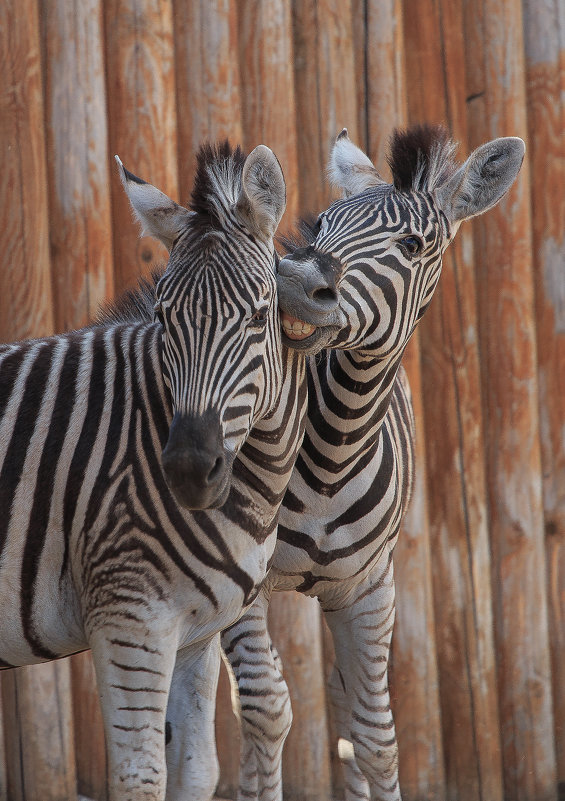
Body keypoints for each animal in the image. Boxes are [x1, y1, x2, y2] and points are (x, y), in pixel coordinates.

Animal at [0, 142, 338, 800]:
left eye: (259, 315)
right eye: (164, 316)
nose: (187, 470)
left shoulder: (196, 633)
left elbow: (197, 767)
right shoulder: (129, 619)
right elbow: (142, 777)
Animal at [219, 125, 524, 800]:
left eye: (412, 245)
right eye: (321, 226)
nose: (291, 285)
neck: (333, 448)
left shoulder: (368, 588)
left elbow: (376, 739)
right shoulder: (236, 577)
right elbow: (264, 712)